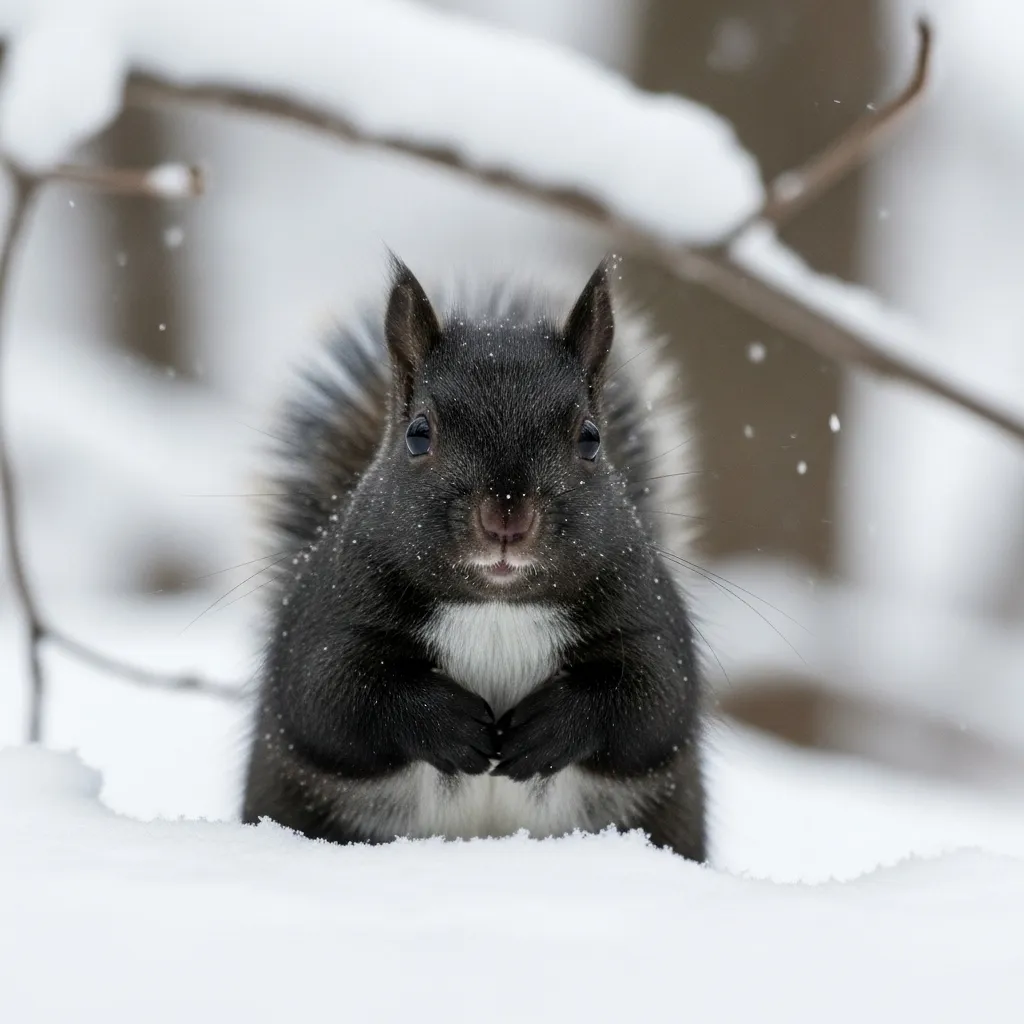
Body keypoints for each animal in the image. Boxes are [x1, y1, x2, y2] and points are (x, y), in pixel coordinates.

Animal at [241, 255, 707, 862]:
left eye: (590, 438)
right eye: (418, 434)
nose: (506, 519)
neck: (495, 608)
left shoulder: (647, 612)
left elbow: (653, 700)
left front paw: (550, 727)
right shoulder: (327, 614)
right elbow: (330, 696)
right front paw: (447, 723)